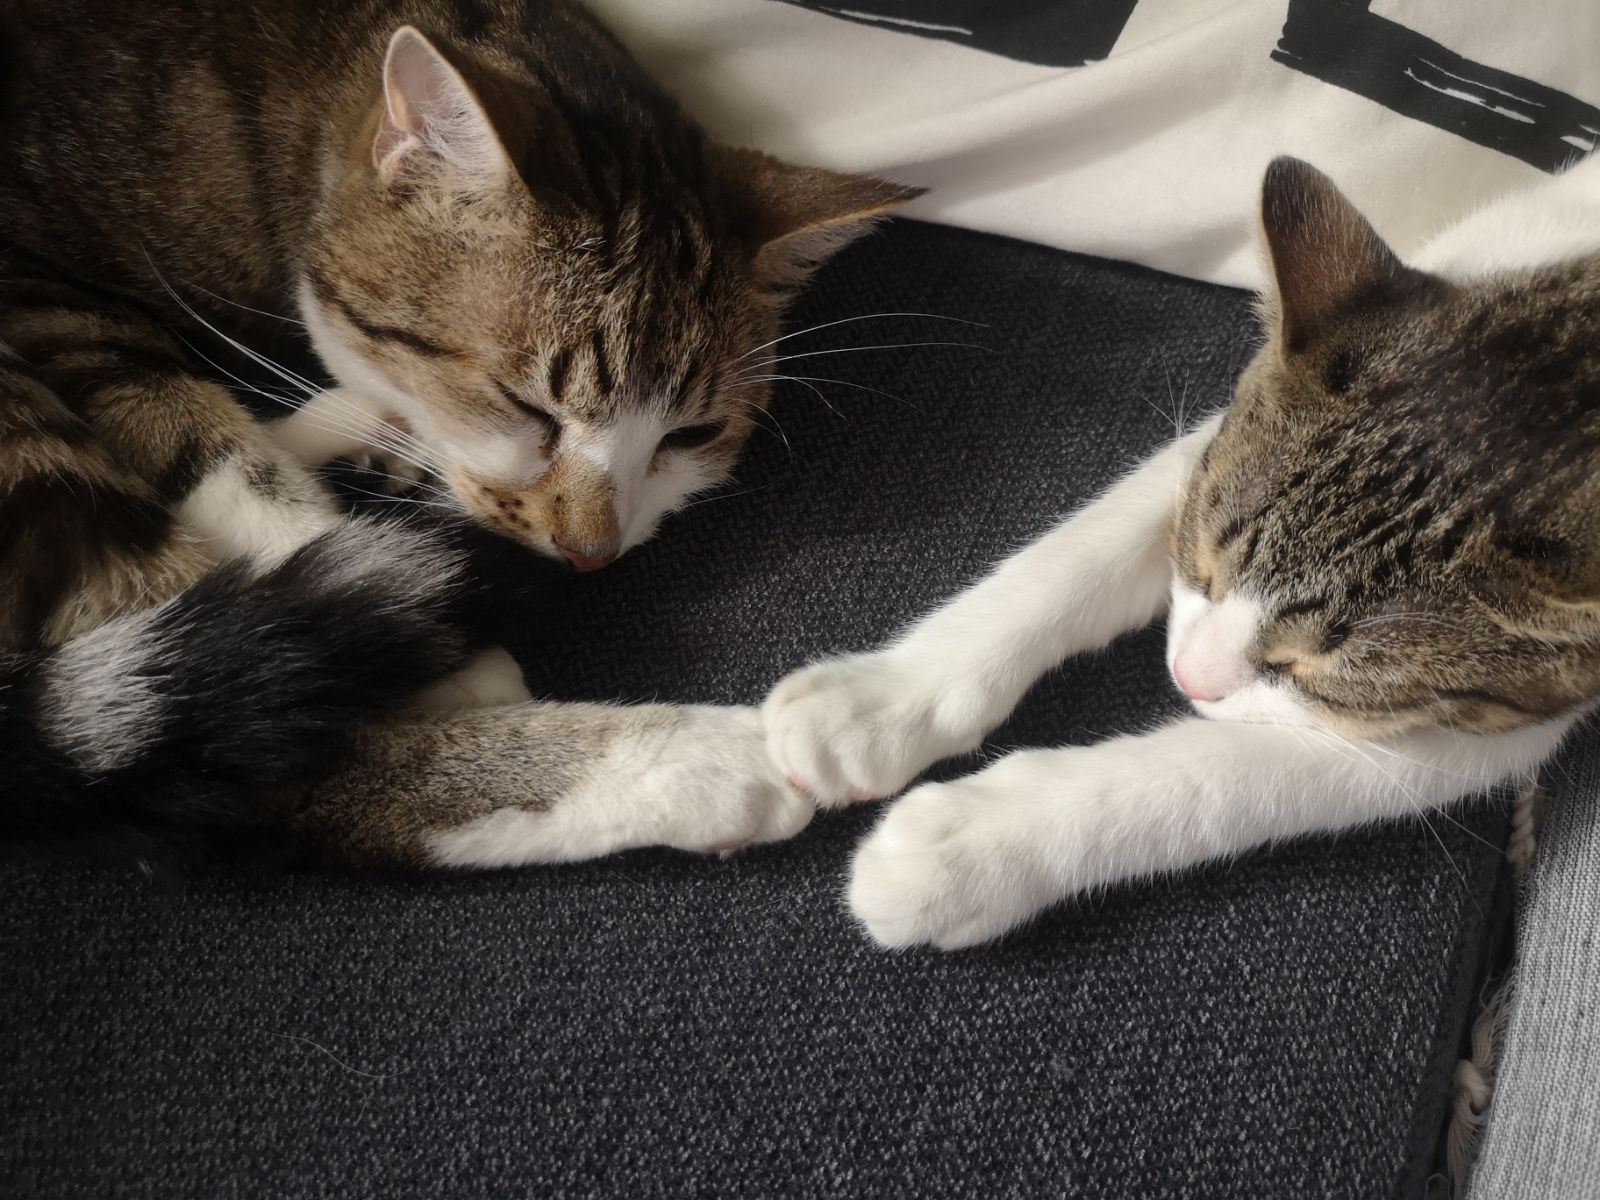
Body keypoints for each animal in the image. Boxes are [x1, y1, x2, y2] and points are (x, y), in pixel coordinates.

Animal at [0, 0, 918, 866]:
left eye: (691, 435)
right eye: (525, 407)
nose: (591, 554)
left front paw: (362, 431)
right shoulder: (41, 290)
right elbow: (218, 451)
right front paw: (429, 630)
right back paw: (700, 766)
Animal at [765, 153, 1600, 949]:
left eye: (1318, 673)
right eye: (1203, 564)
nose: (1188, 679)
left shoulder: (1503, 717)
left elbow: (1230, 778)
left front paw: (973, 847)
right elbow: (1079, 556)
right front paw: (880, 699)